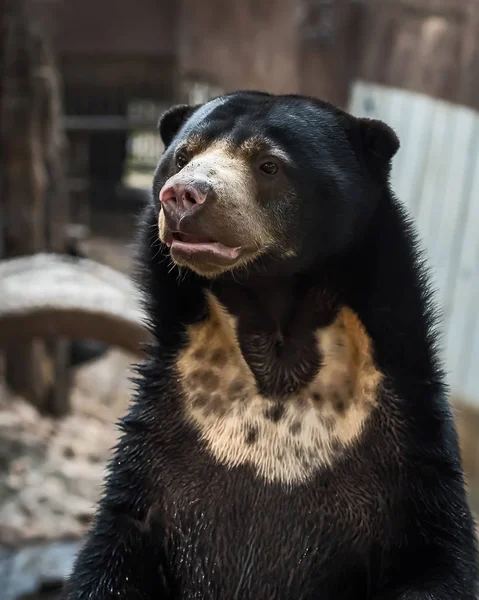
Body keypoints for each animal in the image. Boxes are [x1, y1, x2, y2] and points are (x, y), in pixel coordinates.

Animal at [64, 91, 479, 596]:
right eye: (181, 157)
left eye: (269, 165)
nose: (182, 195)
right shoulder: (157, 444)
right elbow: (116, 549)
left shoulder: (410, 450)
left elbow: (435, 556)